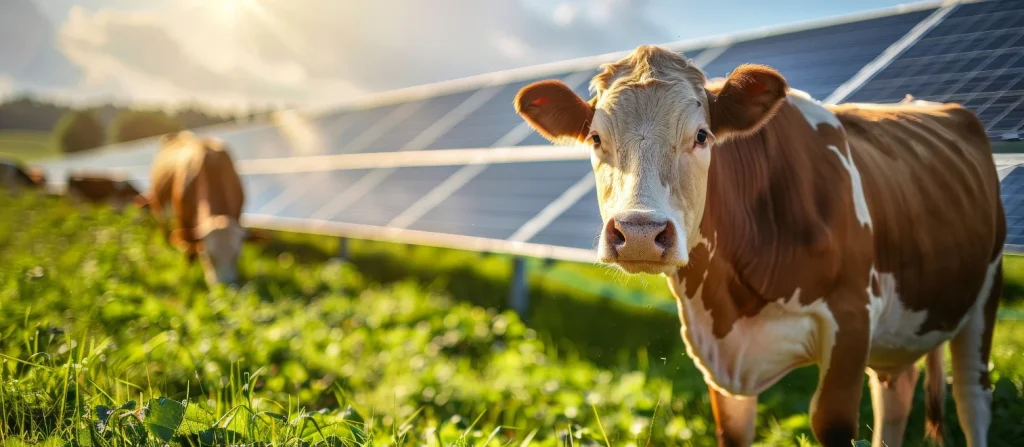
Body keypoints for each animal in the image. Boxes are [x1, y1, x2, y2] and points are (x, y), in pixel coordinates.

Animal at [140, 131, 267, 286]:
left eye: (237, 255)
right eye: (207, 256)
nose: (226, 286)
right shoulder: (183, 221)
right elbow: (188, 251)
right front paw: (187, 273)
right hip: (158, 205)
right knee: (163, 227)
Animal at [513, 45, 1003, 447]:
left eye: (702, 135)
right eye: (597, 138)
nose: (638, 233)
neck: (733, 298)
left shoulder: (851, 321)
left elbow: (832, 422)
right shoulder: (720, 363)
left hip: (983, 294)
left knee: (972, 397)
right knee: (896, 394)